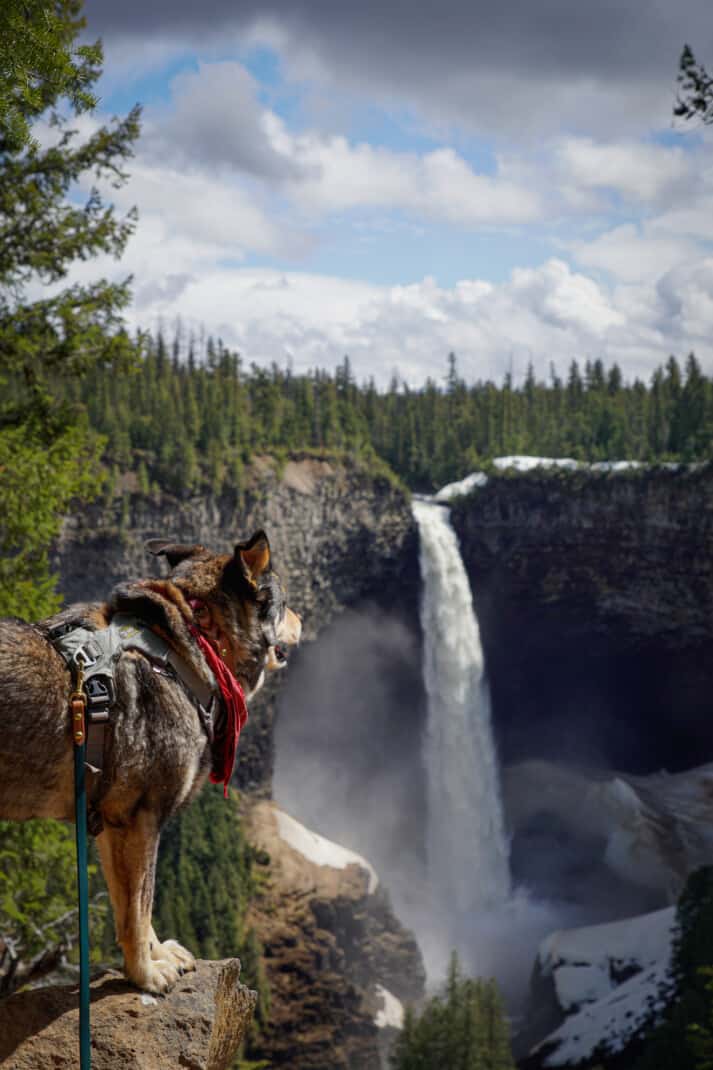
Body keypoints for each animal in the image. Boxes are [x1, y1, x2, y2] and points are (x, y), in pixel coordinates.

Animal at [0, 535, 297, 992]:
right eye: (284, 603)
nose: (302, 619)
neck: (191, 640)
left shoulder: (110, 823)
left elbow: (132, 905)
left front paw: (158, 955)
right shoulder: (141, 819)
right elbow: (139, 907)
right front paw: (145, 974)